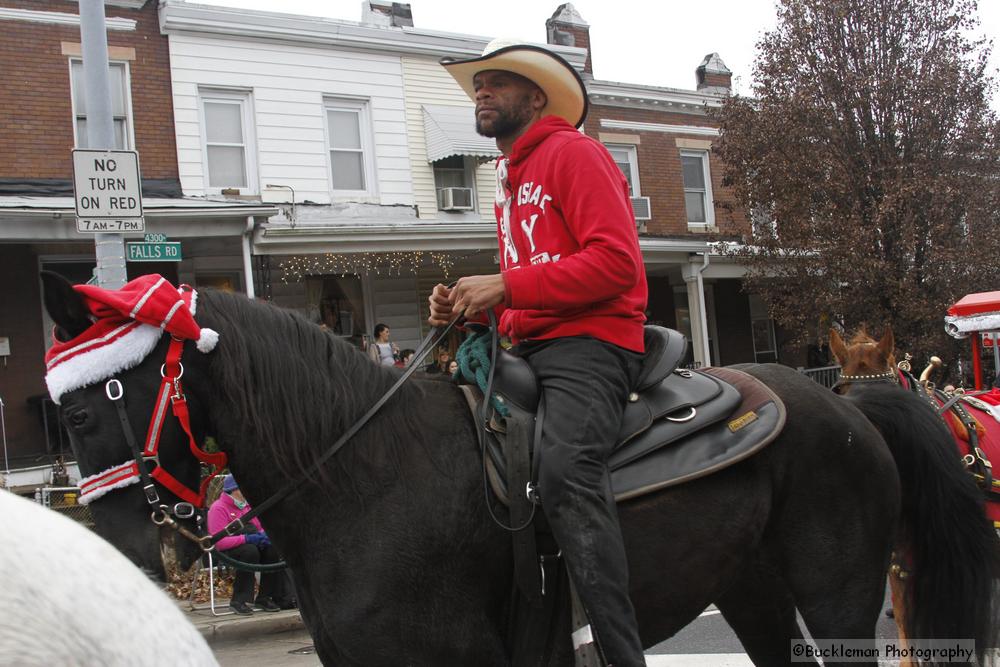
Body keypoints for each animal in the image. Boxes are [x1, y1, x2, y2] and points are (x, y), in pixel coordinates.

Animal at [43, 274, 996, 664]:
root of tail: (850, 405)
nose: (122, 550)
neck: (362, 475)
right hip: (753, 590)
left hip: (839, 593)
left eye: (85, 410)